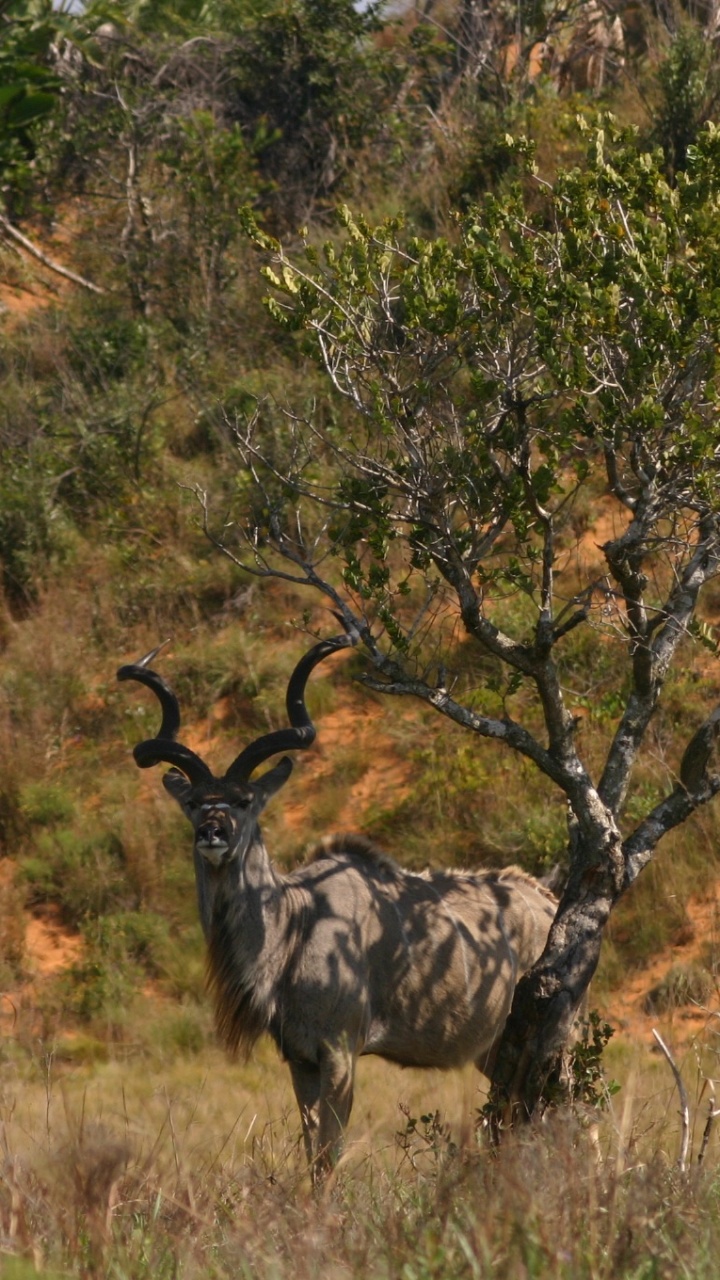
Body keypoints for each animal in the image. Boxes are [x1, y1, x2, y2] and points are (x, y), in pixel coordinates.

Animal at [118, 629, 557, 1182]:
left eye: (243, 800)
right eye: (195, 802)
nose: (212, 833)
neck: (295, 923)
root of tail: (548, 900)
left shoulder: (342, 1051)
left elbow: (329, 1155)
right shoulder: (301, 1059)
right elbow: (313, 1154)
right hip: (496, 1050)